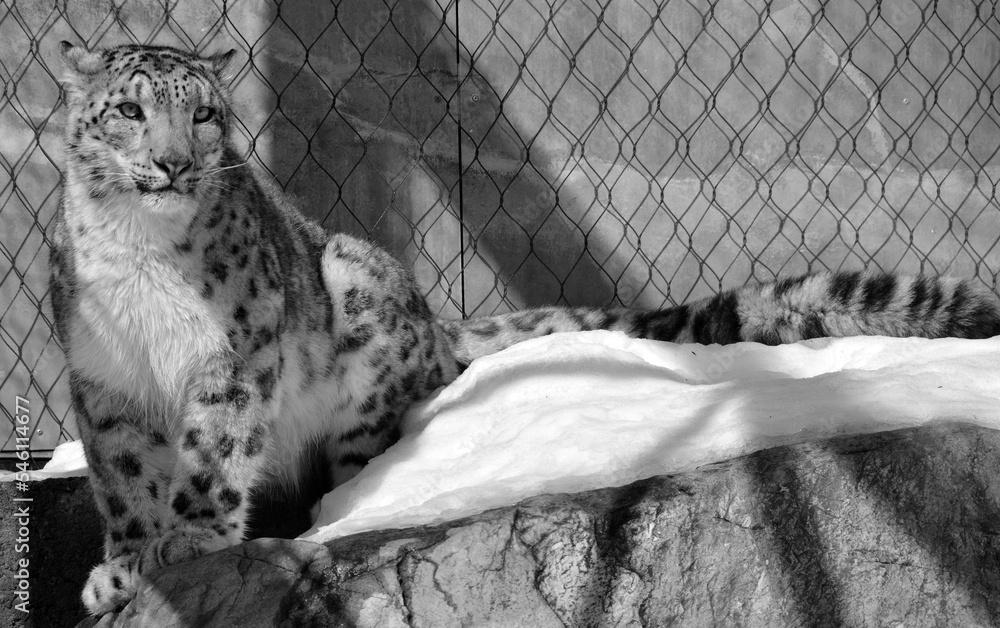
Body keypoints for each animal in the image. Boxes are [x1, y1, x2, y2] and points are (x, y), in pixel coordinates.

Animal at [50, 42, 1000, 616]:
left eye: (204, 112)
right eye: (129, 111)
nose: (175, 162)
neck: (140, 257)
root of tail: (438, 324)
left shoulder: (232, 355)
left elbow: (210, 452)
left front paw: (185, 541)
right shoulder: (104, 381)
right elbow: (123, 478)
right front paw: (124, 564)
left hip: (357, 297)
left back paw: (348, 510)